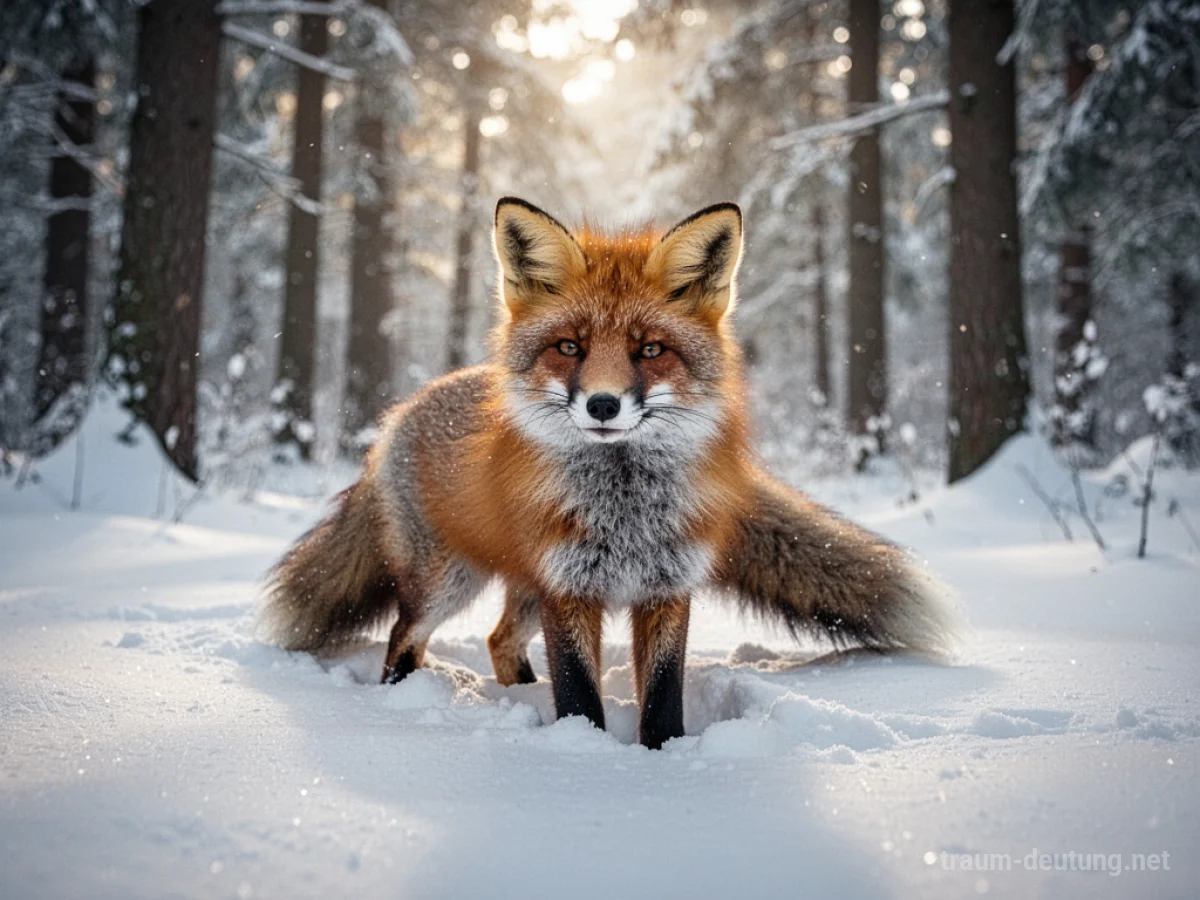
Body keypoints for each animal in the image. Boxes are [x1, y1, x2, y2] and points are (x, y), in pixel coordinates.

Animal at [261, 197, 958, 749]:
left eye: (649, 350)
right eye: (569, 346)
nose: (602, 404)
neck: (625, 510)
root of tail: (399, 414)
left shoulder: (666, 586)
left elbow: (663, 696)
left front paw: (662, 759)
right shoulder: (569, 587)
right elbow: (578, 691)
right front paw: (586, 757)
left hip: (522, 586)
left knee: (498, 640)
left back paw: (519, 696)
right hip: (449, 581)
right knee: (404, 636)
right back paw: (398, 702)